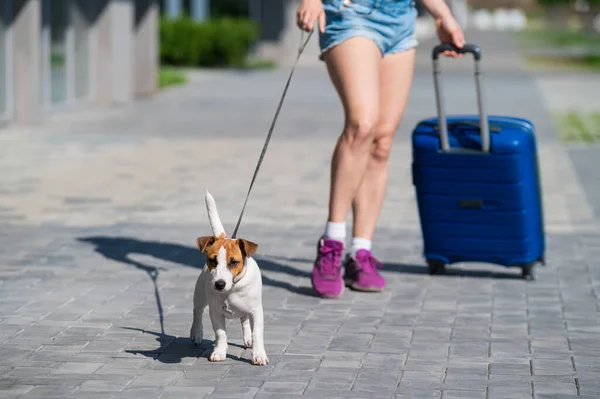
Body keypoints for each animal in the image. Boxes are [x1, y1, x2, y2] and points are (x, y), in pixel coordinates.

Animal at [191, 192, 268, 368]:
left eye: (234, 262)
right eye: (213, 260)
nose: (219, 284)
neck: (232, 289)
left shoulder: (256, 311)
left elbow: (257, 334)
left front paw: (259, 355)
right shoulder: (215, 311)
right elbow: (220, 333)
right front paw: (219, 352)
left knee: (245, 321)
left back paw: (248, 339)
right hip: (199, 294)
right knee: (197, 312)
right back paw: (196, 333)